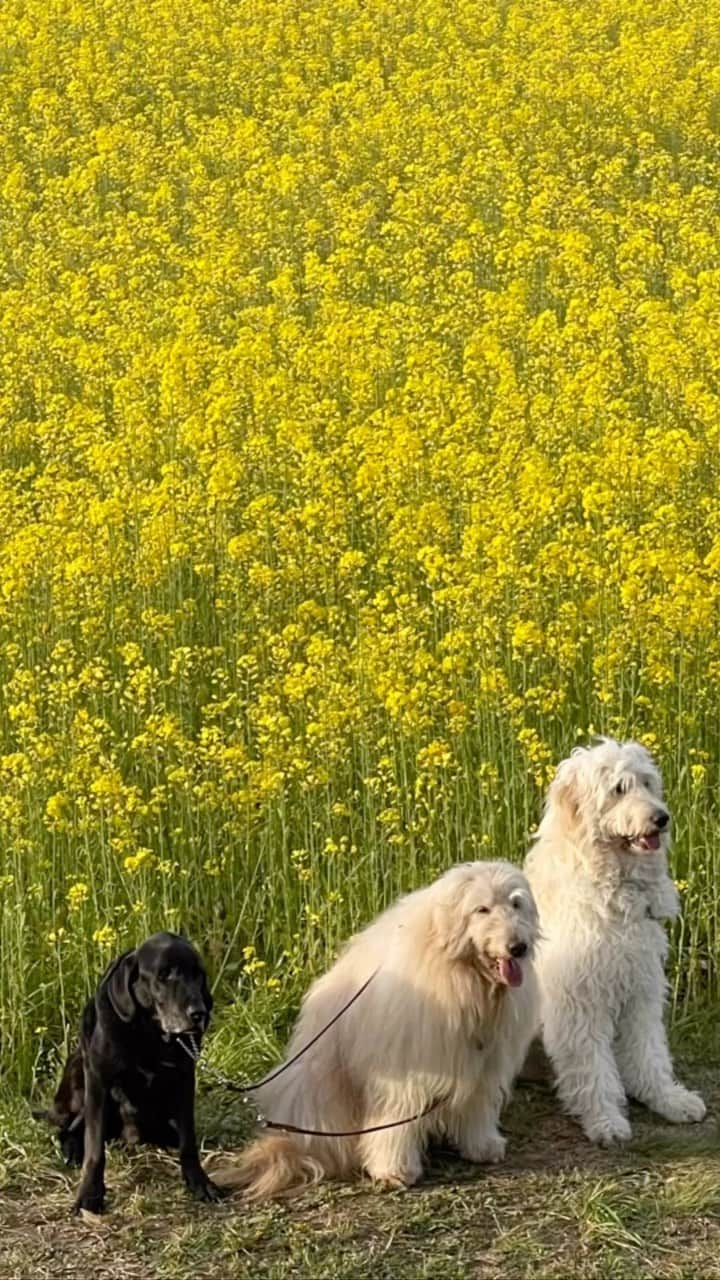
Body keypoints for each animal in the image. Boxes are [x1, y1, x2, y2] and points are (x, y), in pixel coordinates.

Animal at [46, 931, 220, 1208]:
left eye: (198, 974)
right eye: (163, 975)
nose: (199, 1013)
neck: (148, 1033)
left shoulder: (184, 1079)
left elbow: (188, 1141)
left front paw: (199, 1182)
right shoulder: (98, 1083)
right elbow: (95, 1148)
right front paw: (90, 1193)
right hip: (78, 1077)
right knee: (70, 1128)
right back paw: (72, 1150)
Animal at [215, 860, 535, 1198]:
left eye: (516, 903)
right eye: (481, 909)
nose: (518, 947)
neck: (464, 976)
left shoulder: (482, 1063)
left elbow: (477, 1105)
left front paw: (482, 1145)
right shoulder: (403, 1071)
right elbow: (395, 1121)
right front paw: (394, 1170)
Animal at [525, 737, 702, 1146]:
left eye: (647, 783)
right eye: (618, 789)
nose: (662, 818)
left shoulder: (640, 990)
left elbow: (648, 1051)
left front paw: (669, 1099)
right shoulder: (579, 1003)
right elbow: (592, 1068)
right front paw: (605, 1120)